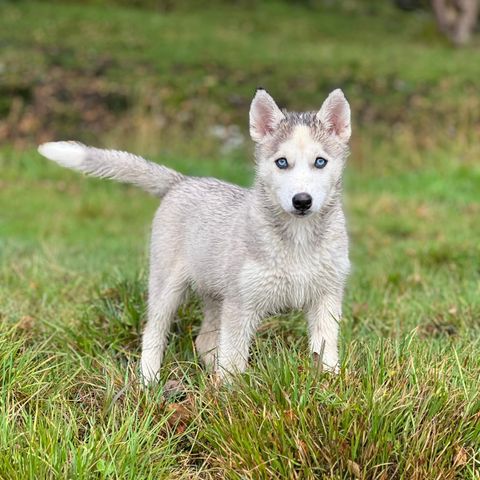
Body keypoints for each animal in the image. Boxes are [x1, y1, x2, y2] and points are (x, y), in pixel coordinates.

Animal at [37, 89, 350, 382]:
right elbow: (234, 358)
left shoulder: (327, 296)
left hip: (215, 293)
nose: (302, 201)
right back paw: (149, 381)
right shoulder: (241, 304)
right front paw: (232, 394)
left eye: (320, 162)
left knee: (205, 340)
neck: (299, 239)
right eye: (282, 162)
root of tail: (182, 181)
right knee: (154, 330)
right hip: (167, 286)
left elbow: (325, 350)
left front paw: (329, 385)